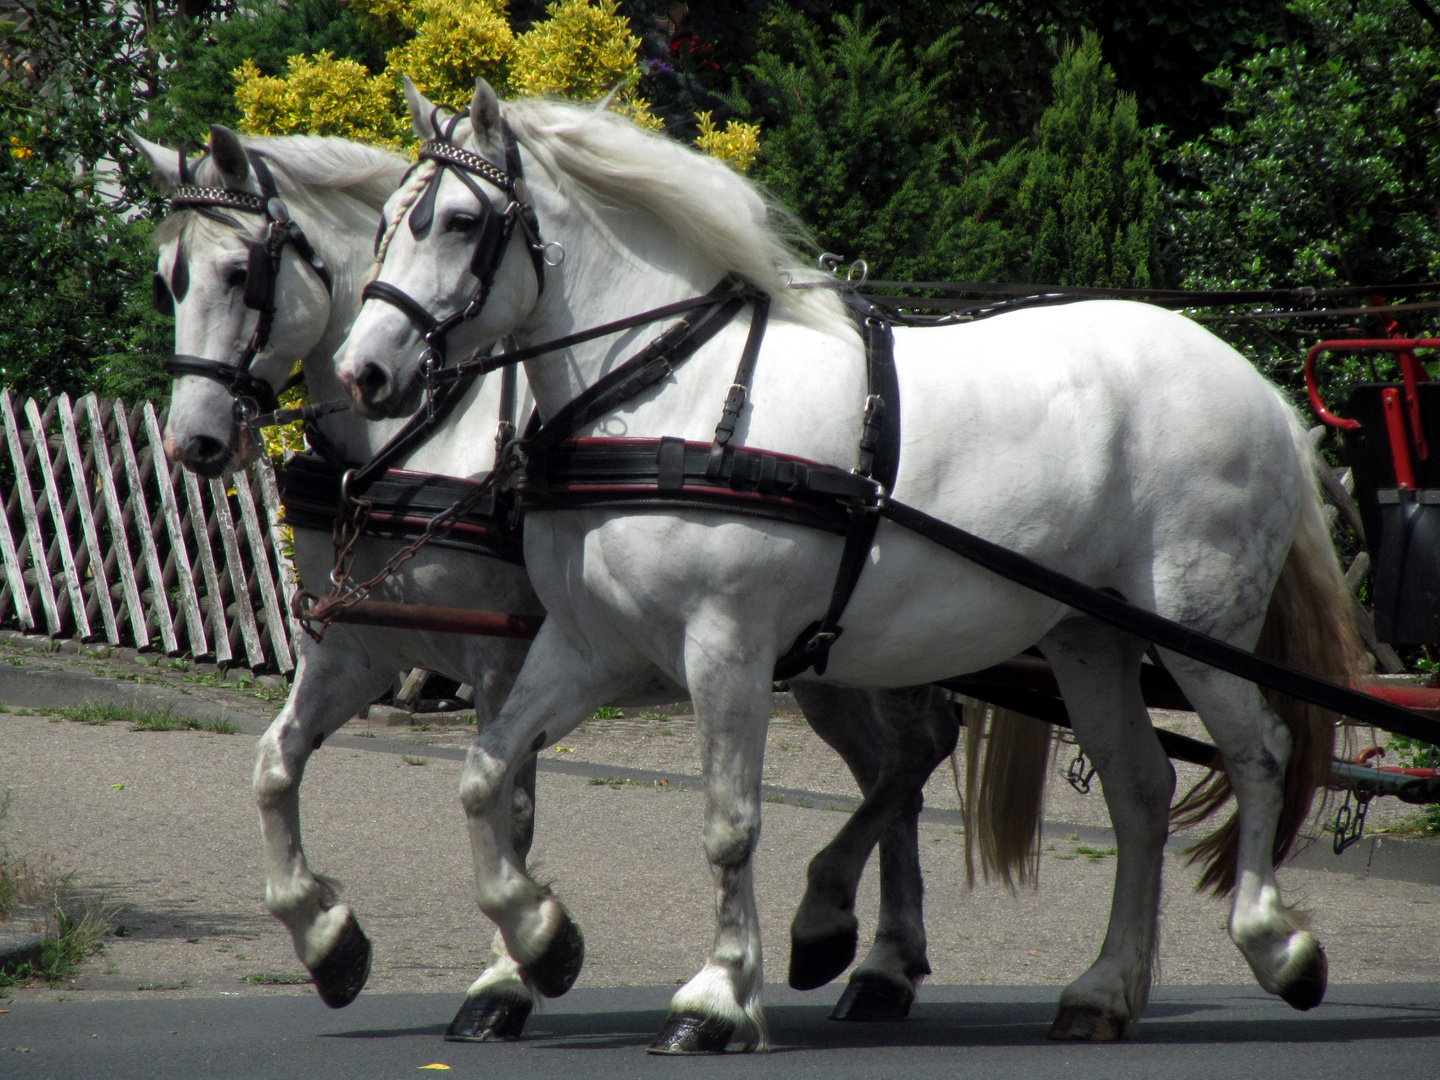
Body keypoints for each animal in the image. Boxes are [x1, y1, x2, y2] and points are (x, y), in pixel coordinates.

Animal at [135, 124, 973, 1042]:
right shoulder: (360, 648)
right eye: (168, 277)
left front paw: (514, 969)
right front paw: (328, 939)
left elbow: (513, 811)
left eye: (239, 273)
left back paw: (856, 942)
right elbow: (276, 766)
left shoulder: (506, 657)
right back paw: (878, 958)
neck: (437, 434)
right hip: (829, 662)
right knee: (895, 769)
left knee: (918, 750)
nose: (194, 440)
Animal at [334, 82, 1359, 1059]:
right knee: (1139, 791)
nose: (363, 372)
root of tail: (1254, 382)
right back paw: (1104, 990)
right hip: (1090, 637)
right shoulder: (588, 647)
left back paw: (1276, 945)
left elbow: (730, 824)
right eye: (385, 222)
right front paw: (543, 941)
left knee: (1260, 752)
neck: (672, 392)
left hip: (1198, 627)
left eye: (458, 221)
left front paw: (717, 998)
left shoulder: (728, 650)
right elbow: (485, 776)